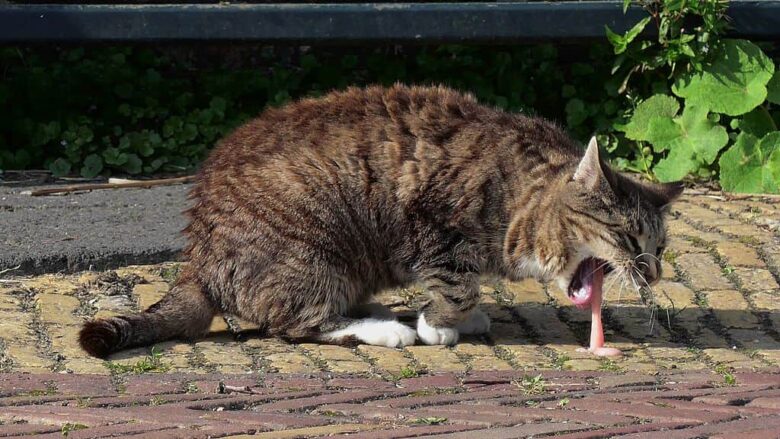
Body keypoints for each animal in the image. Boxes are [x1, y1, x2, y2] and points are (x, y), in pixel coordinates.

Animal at [77, 84, 676, 360]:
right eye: (630, 238)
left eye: (662, 247)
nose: (652, 272)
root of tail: (198, 258)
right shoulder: (432, 223)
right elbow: (455, 284)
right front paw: (440, 325)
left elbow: (464, 288)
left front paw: (458, 318)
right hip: (314, 246)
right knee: (295, 323)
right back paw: (387, 327)